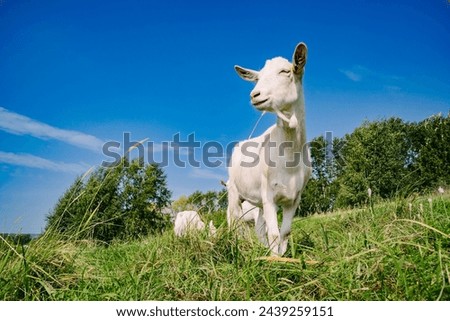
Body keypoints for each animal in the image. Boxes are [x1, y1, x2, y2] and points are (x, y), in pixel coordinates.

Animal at [227, 42, 312, 255]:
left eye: (285, 71)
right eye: (258, 77)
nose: (254, 95)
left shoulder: (294, 198)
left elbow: (285, 233)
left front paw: (283, 256)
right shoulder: (269, 197)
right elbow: (273, 233)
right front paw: (275, 260)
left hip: (257, 203)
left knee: (259, 227)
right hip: (234, 193)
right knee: (234, 223)